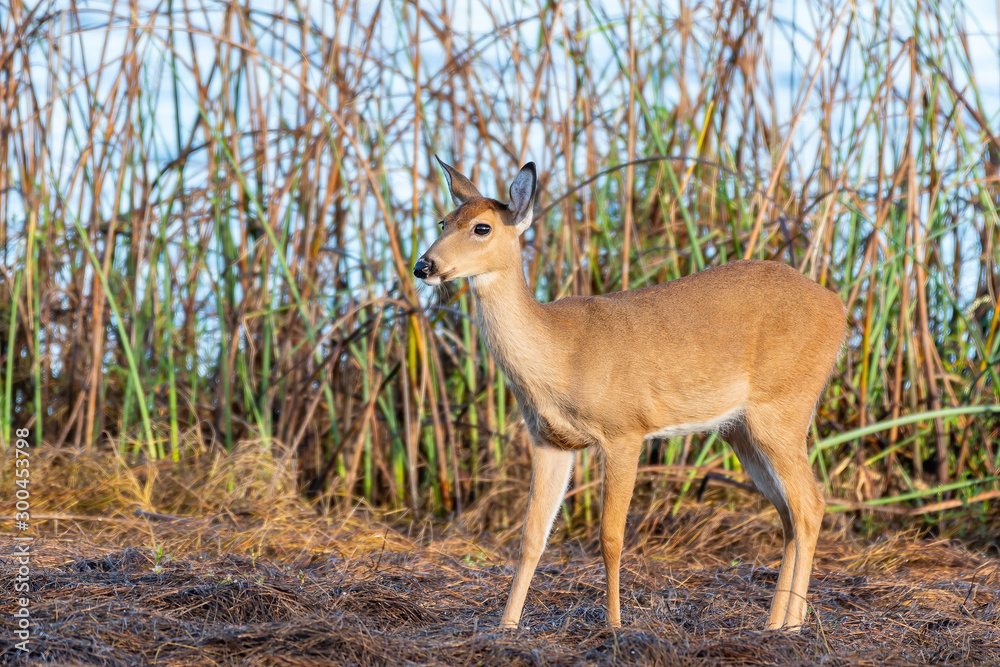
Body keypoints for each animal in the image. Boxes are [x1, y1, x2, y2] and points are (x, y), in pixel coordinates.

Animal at [412, 157, 844, 632]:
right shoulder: (551, 440)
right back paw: (777, 623)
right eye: (443, 220)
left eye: (482, 227)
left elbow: (610, 537)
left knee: (810, 506)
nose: (423, 266)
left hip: (783, 410)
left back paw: (790, 626)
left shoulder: (624, 431)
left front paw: (615, 623)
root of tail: (840, 308)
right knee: (789, 514)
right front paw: (507, 626)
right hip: (742, 431)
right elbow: (531, 538)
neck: (561, 353)